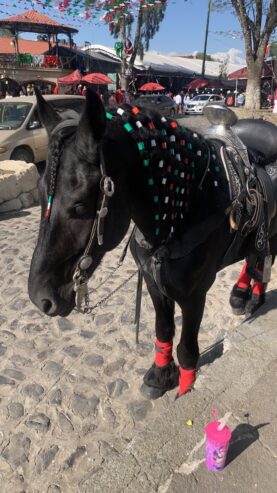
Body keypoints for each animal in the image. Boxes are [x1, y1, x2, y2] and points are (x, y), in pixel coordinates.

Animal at [28, 87, 276, 396]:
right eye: (39, 194)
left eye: (79, 206)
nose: (40, 298)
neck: (185, 209)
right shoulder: (154, 283)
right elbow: (163, 330)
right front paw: (161, 375)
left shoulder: (195, 294)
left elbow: (187, 347)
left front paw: (185, 387)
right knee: (254, 256)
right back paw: (240, 294)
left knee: (264, 256)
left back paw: (255, 296)